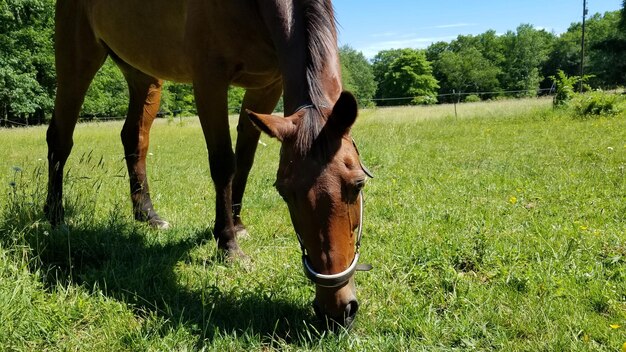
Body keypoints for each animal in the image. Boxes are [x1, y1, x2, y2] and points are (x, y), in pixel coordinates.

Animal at [50, 0, 370, 326]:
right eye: (284, 193)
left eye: (357, 184)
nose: (337, 310)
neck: (253, 8)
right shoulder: (209, 81)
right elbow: (223, 164)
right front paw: (228, 244)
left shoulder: (267, 87)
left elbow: (245, 159)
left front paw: (236, 224)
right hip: (77, 60)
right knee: (60, 138)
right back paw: (55, 217)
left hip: (142, 74)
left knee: (134, 139)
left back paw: (147, 215)